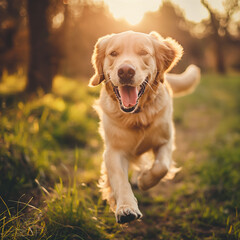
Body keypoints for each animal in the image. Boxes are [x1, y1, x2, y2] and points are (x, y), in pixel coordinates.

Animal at [89, 31, 200, 224]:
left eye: (143, 52)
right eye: (113, 53)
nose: (126, 71)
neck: (136, 116)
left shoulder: (166, 141)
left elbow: (161, 167)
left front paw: (144, 181)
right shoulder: (113, 150)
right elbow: (120, 179)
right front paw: (126, 208)